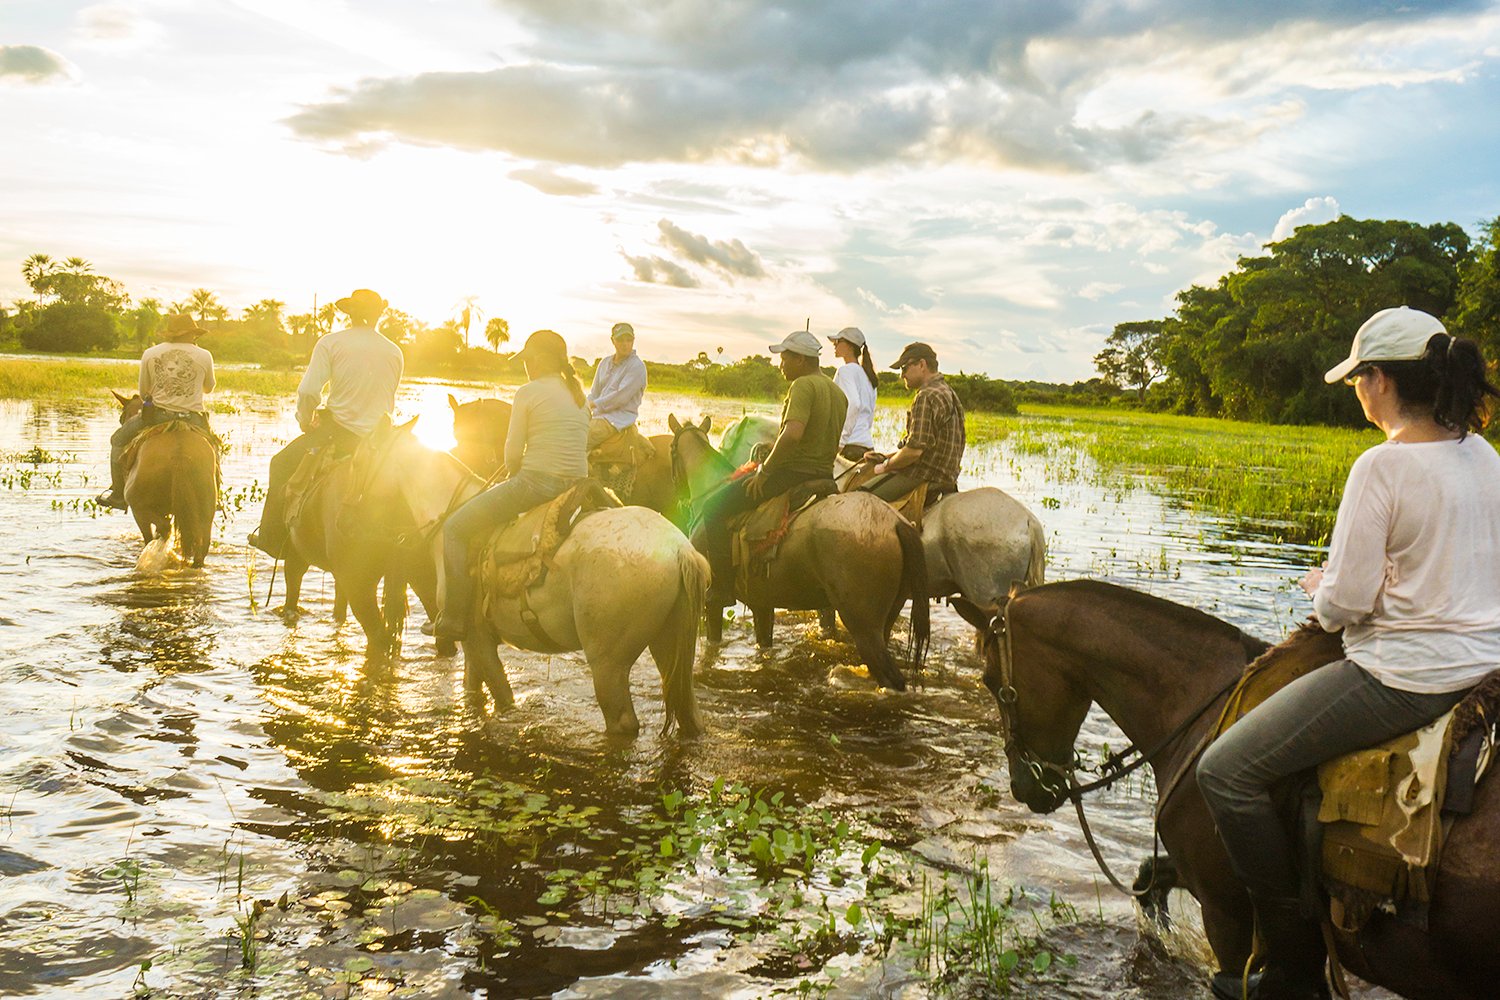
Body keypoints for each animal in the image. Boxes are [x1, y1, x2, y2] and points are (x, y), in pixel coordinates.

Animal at [111, 389, 219, 566]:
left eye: (122, 417)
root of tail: (179, 452)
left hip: (139, 509)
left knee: (162, 530)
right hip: (205, 513)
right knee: (200, 547)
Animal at [351, 419, 708, 740]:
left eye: (361, 459)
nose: (354, 503)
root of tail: (679, 551)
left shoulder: (477, 641)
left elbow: (503, 697)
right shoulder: (474, 642)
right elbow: (473, 692)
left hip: (609, 663)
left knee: (623, 722)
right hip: (667, 645)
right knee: (688, 714)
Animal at [669, 413, 924, 689]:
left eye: (671, 451)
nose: (678, 499)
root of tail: (896, 522)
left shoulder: (712, 602)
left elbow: (713, 643)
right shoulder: (762, 603)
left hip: (865, 627)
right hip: (885, 620)